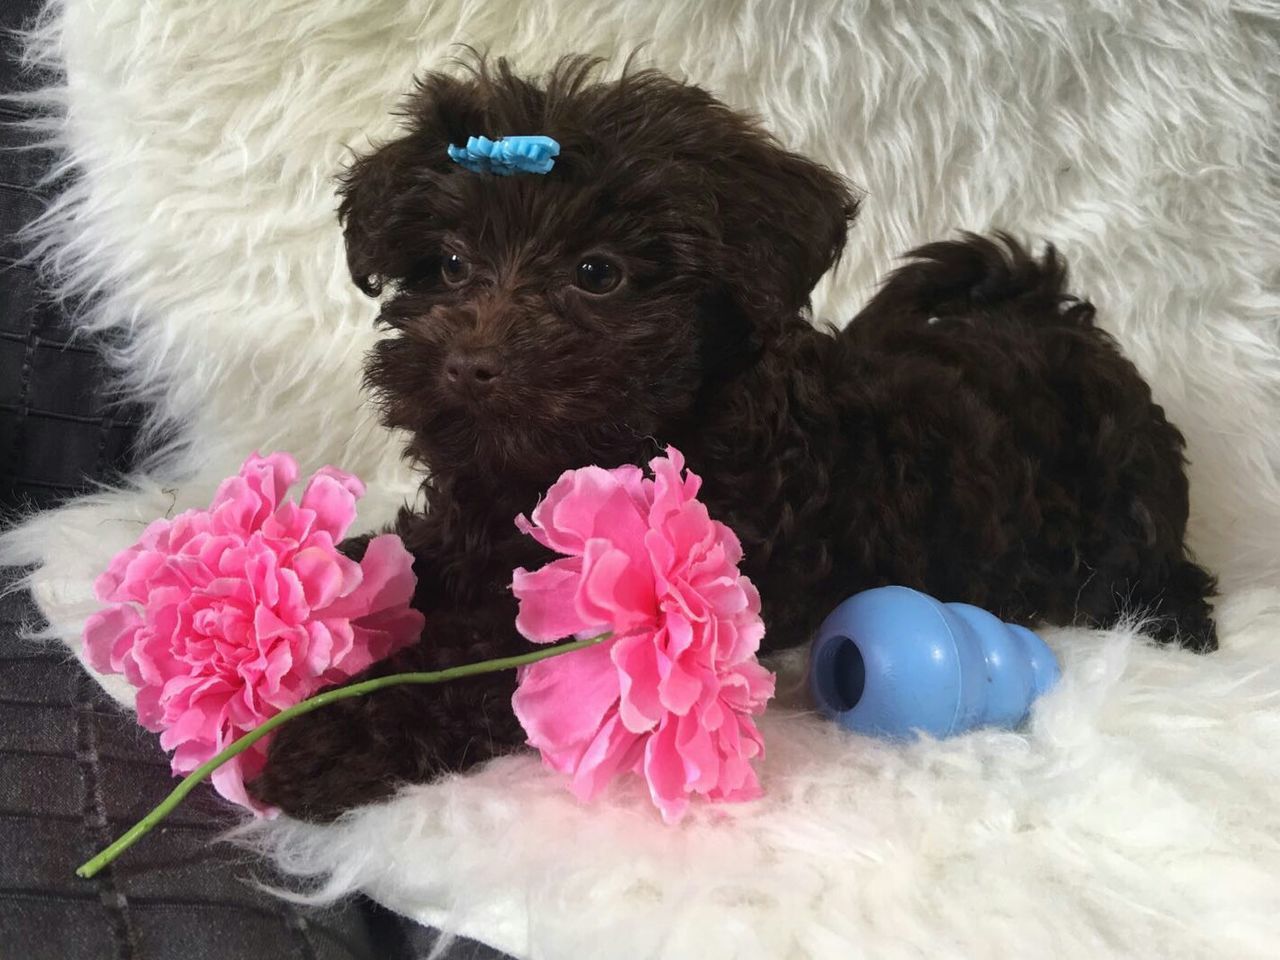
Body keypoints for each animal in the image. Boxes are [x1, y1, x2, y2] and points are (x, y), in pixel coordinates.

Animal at [252, 58, 1218, 819]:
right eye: (450, 263)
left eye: (598, 273)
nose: (469, 365)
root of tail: (1061, 321)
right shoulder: (470, 527)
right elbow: (401, 558)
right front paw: (299, 593)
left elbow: (479, 658)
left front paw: (326, 734)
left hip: (1123, 511)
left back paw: (1175, 620)